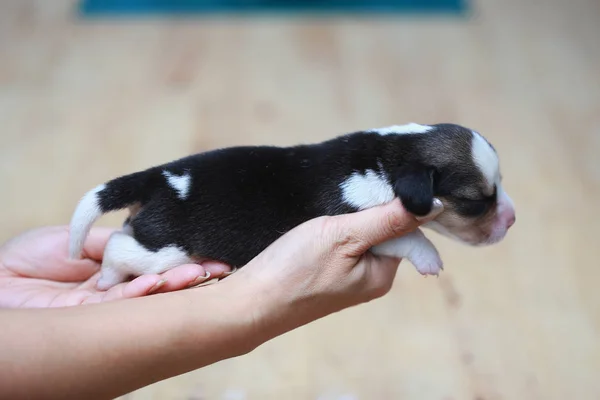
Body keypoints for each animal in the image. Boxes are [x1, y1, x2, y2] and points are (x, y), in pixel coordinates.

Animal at [67, 122, 516, 290]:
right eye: (477, 202)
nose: (512, 219)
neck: (389, 158)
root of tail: (157, 176)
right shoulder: (353, 220)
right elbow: (409, 234)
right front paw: (428, 255)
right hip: (167, 250)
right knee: (119, 248)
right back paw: (107, 278)